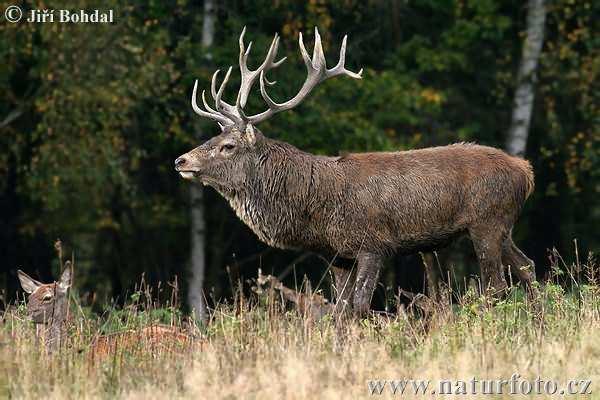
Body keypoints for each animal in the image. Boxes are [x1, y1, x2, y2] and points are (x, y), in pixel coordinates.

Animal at [176, 27, 536, 316]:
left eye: (228, 146)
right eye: (213, 138)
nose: (181, 161)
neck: (314, 208)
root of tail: (526, 170)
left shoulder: (374, 243)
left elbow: (360, 306)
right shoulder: (338, 256)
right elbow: (340, 308)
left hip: (487, 220)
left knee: (496, 286)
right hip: (503, 226)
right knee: (527, 267)